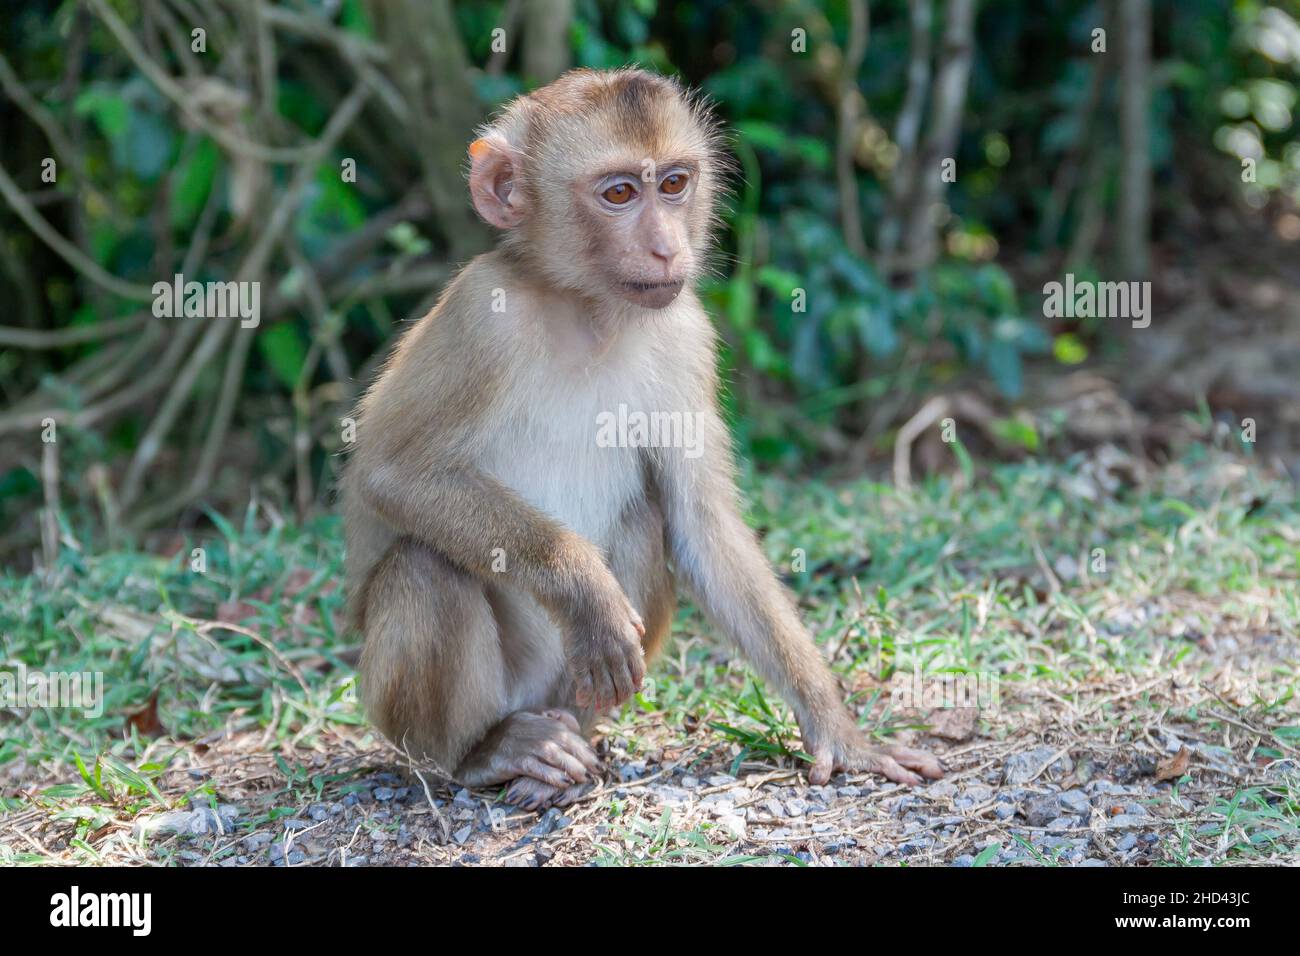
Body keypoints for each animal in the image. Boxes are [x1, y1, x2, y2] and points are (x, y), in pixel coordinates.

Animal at [340, 65, 941, 806]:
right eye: (620, 193)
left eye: (675, 184)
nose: (666, 247)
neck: (589, 313)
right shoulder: (480, 315)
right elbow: (392, 472)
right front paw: (583, 589)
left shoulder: (688, 335)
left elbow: (702, 525)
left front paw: (838, 730)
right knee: (425, 567)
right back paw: (486, 752)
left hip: (568, 686)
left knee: (643, 519)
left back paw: (570, 736)